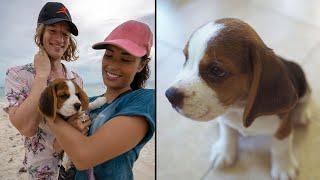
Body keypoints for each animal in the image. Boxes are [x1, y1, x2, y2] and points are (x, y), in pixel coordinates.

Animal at [166, 18, 312, 180]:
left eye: (216, 71)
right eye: (186, 58)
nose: (169, 95)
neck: (238, 108)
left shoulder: (283, 126)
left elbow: (281, 146)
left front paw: (283, 168)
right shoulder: (226, 119)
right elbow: (227, 132)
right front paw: (224, 152)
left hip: (303, 84)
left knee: (308, 96)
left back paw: (301, 113)